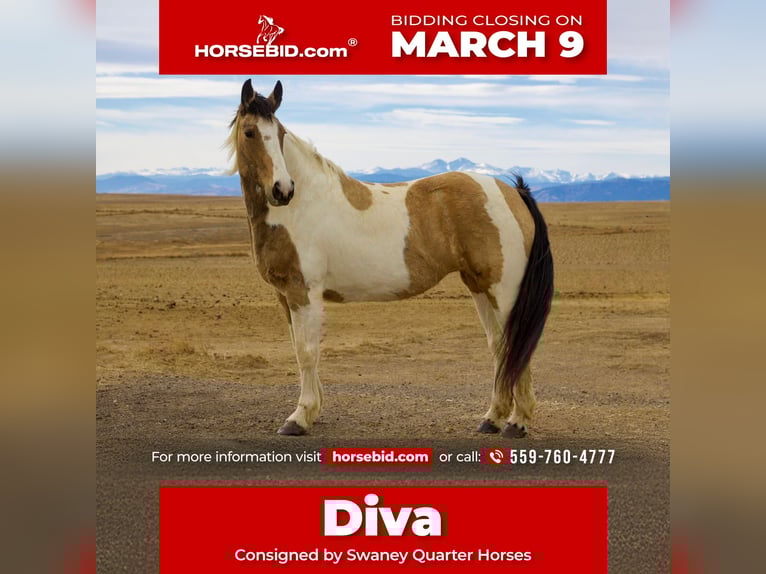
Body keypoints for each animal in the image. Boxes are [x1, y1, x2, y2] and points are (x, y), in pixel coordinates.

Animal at [225, 79, 554, 437]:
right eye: (250, 133)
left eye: (280, 133)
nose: (283, 190)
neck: (300, 207)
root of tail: (513, 192)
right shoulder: (285, 295)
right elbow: (299, 349)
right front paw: (313, 411)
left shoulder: (304, 292)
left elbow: (307, 351)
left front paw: (298, 418)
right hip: (480, 286)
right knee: (500, 346)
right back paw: (492, 418)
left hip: (505, 291)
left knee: (519, 345)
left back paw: (517, 422)